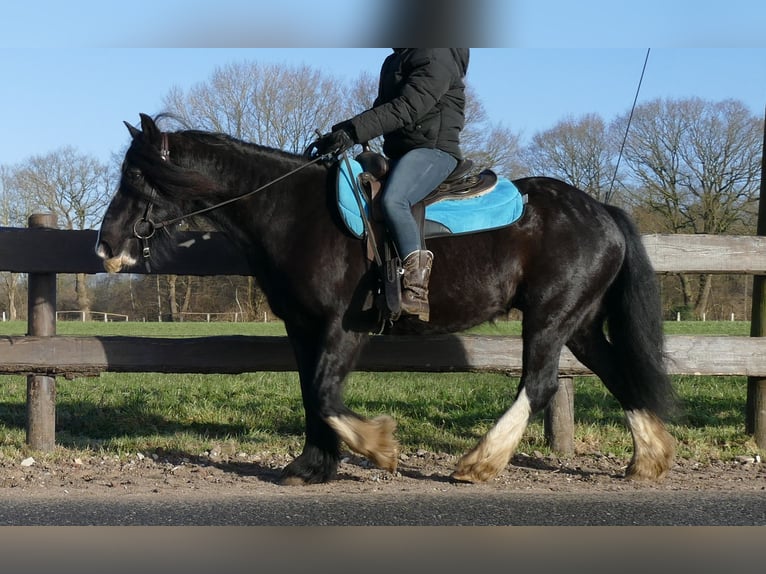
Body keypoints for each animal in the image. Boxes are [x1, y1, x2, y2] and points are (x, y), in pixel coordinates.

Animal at [96, 115, 680, 488]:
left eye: (137, 175)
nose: (106, 247)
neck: (293, 210)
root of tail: (602, 210)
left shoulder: (343, 326)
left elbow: (326, 394)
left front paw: (377, 445)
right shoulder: (302, 327)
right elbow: (312, 393)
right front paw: (312, 467)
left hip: (549, 317)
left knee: (537, 385)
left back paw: (479, 463)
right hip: (579, 323)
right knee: (618, 372)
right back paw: (649, 459)